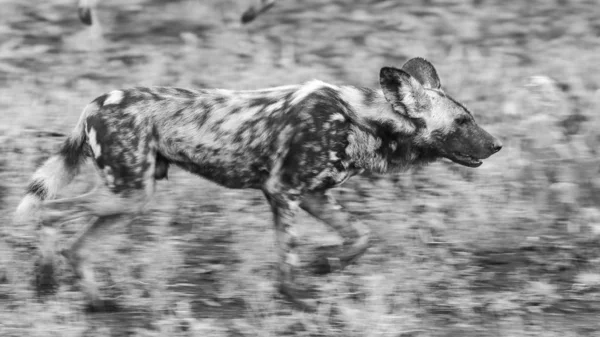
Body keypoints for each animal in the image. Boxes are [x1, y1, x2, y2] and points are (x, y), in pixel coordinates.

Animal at [15, 57, 502, 310]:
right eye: (462, 122)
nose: (498, 145)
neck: (359, 119)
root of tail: (96, 101)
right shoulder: (283, 192)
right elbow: (287, 259)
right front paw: (298, 298)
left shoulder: (313, 196)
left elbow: (361, 237)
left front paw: (326, 265)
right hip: (127, 193)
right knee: (49, 212)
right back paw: (44, 283)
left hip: (131, 198)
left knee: (77, 246)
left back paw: (97, 302)